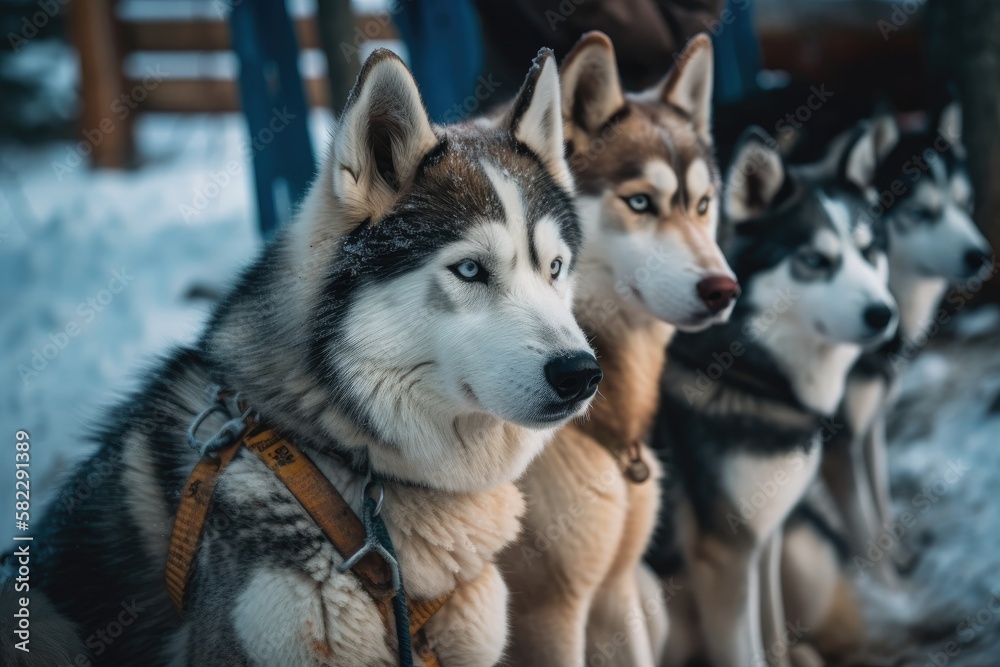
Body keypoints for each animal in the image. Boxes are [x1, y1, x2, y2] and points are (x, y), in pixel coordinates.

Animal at [504, 34, 740, 667]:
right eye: (639, 203)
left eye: (703, 203)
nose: (724, 290)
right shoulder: (549, 616)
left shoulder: (614, 593)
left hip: (648, 593)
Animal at [648, 125, 900, 667]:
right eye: (815, 261)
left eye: (869, 251)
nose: (884, 315)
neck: (743, 373)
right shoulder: (726, 557)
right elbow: (746, 650)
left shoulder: (765, 541)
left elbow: (773, 635)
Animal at [820, 99, 992, 584]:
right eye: (920, 213)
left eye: (964, 204)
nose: (981, 257)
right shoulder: (836, 444)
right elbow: (862, 527)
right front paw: (889, 590)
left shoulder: (869, 424)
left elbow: (878, 507)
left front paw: (897, 557)